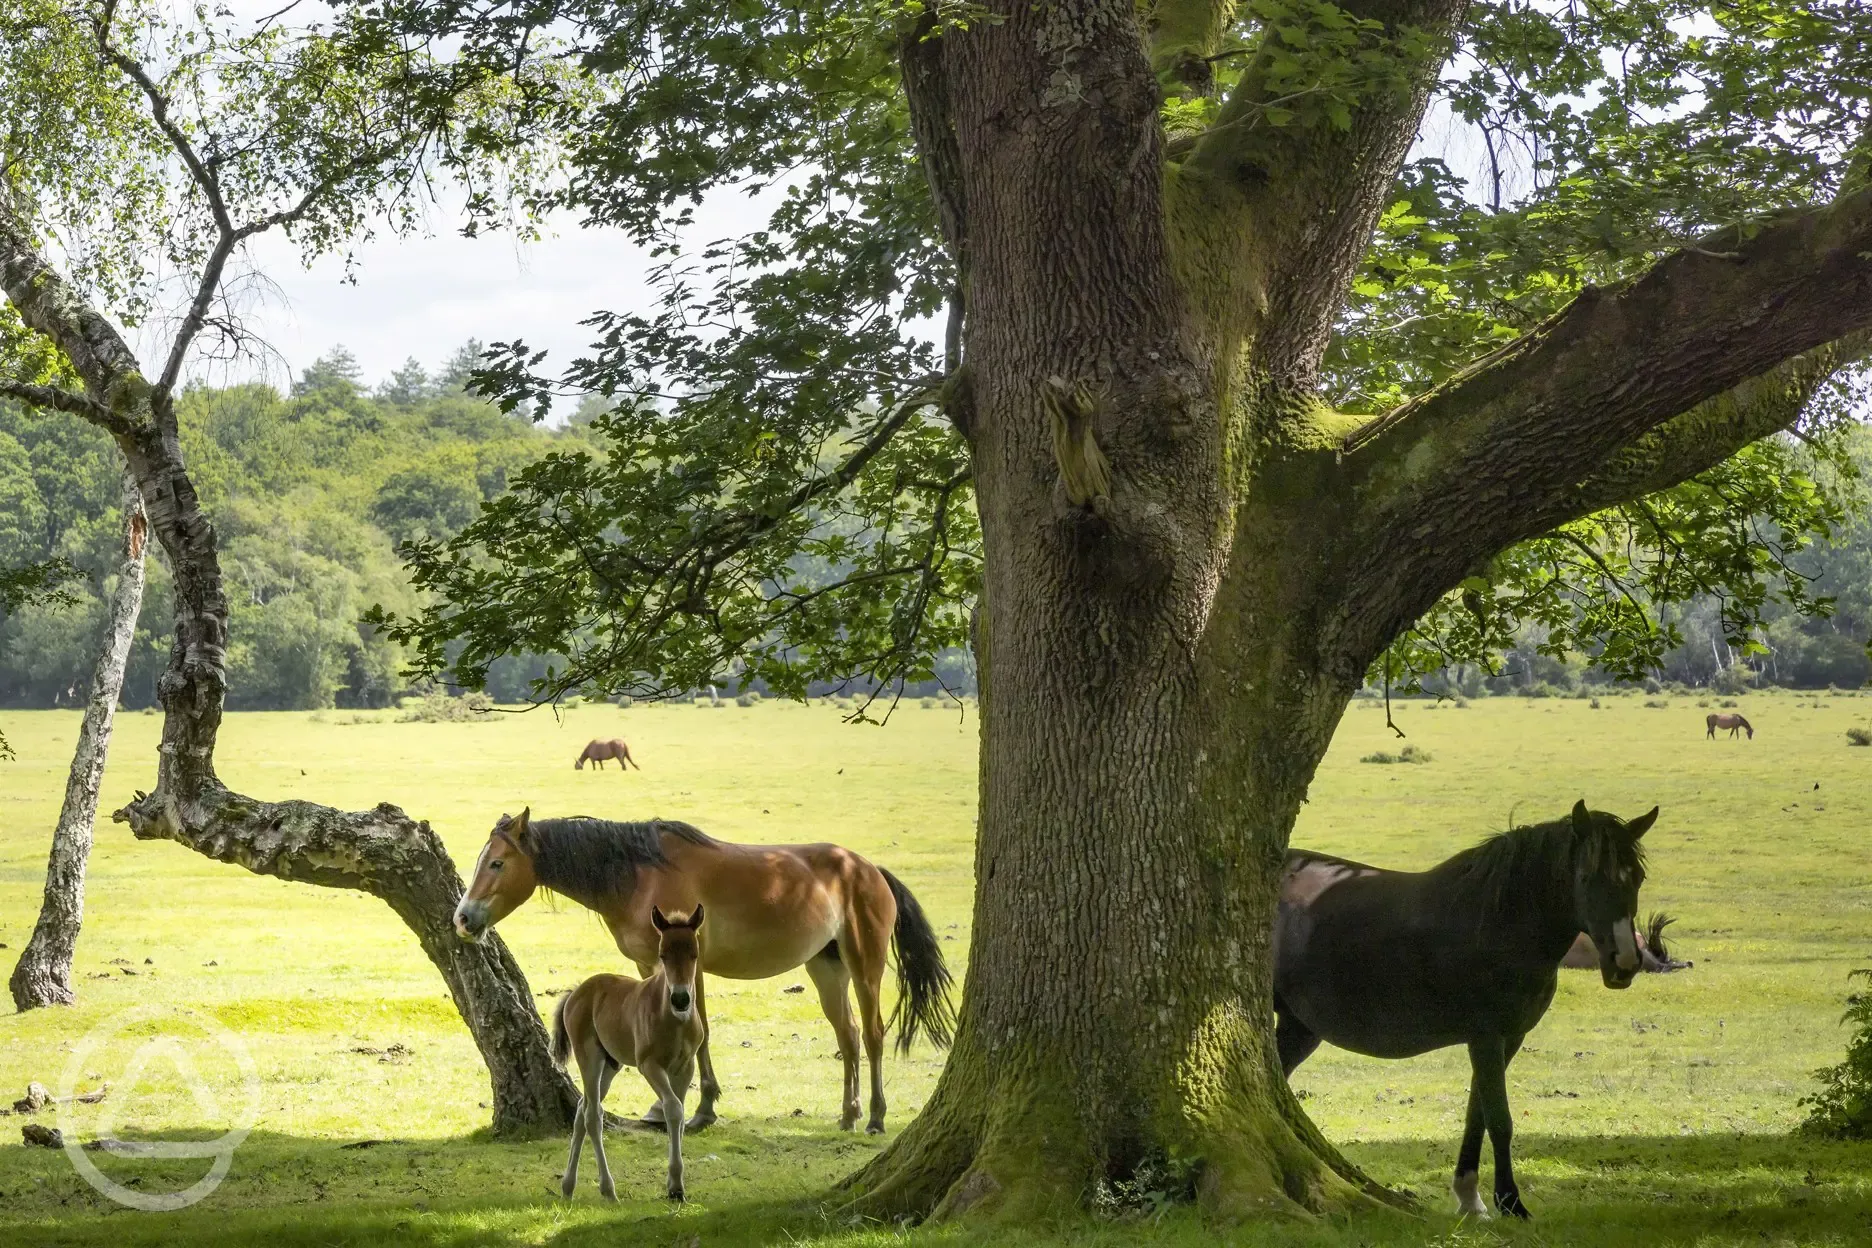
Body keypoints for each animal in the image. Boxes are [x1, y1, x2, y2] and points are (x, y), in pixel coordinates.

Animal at [554, 909, 707, 1197]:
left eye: (694, 954)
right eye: (662, 955)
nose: (681, 999)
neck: (674, 1019)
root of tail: (575, 992)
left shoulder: (685, 1066)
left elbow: (680, 1114)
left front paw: (675, 1185)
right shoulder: (649, 1065)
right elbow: (673, 1109)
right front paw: (675, 1186)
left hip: (611, 1064)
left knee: (582, 1109)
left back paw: (568, 1186)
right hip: (589, 1057)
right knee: (593, 1115)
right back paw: (608, 1190)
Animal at [1272, 800, 1654, 1219]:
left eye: (1637, 878)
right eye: (1586, 877)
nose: (1625, 963)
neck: (1499, 922)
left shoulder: (1509, 1038)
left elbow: (1478, 1115)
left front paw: (1471, 1198)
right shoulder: (1486, 1037)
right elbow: (1500, 1120)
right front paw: (1511, 1202)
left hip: (1299, 1028)